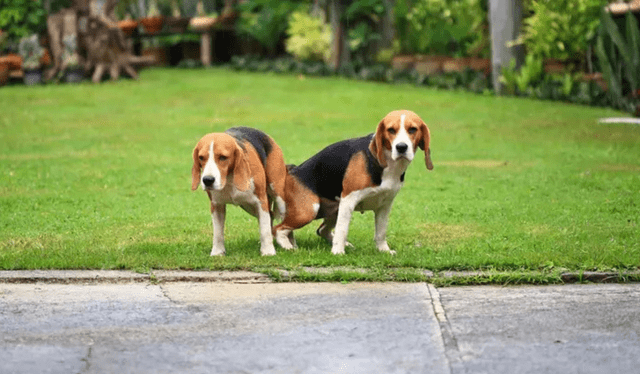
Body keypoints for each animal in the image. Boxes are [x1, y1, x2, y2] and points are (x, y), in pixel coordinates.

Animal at [191, 127, 286, 256]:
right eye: (201, 157)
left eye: (223, 157)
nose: (207, 180)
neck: (229, 178)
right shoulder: (216, 205)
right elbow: (218, 232)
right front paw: (217, 252)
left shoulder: (261, 201)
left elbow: (264, 229)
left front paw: (268, 252)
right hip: (248, 206)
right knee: (270, 216)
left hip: (278, 196)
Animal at [272, 108, 432, 254]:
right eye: (391, 130)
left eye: (413, 129)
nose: (401, 147)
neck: (389, 165)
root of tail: (292, 170)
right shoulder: (348, 200)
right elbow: (342, 230)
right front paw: (337, 252)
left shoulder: (385, 205)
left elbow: (381, 232)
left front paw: (384, 251)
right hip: (309, 210)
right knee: (277, 229)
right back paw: (288, 247)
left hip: (334, 209)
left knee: (321, 230)